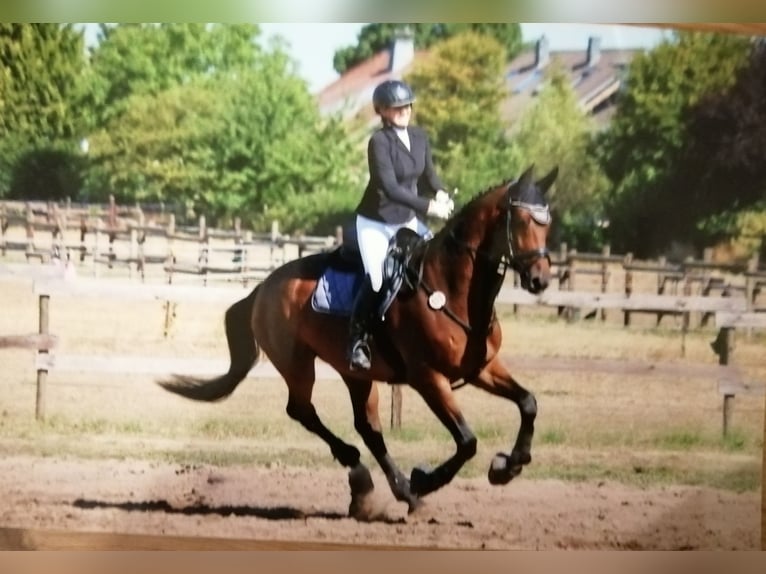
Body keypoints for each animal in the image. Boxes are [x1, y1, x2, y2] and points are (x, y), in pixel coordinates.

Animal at [158, 164, 557, 517]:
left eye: (548, 223)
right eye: (523, 221)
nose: (540, 280)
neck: (451, 289)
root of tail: (263, 287)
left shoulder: (482, 367)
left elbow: (529, 403)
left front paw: (510, 465)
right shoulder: (428, 378)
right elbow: (467, 441)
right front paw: (427, 479)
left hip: (356, 374)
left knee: (368, 428)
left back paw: (393, 490)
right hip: (297, 364)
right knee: (302, 411)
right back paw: (371, 474)